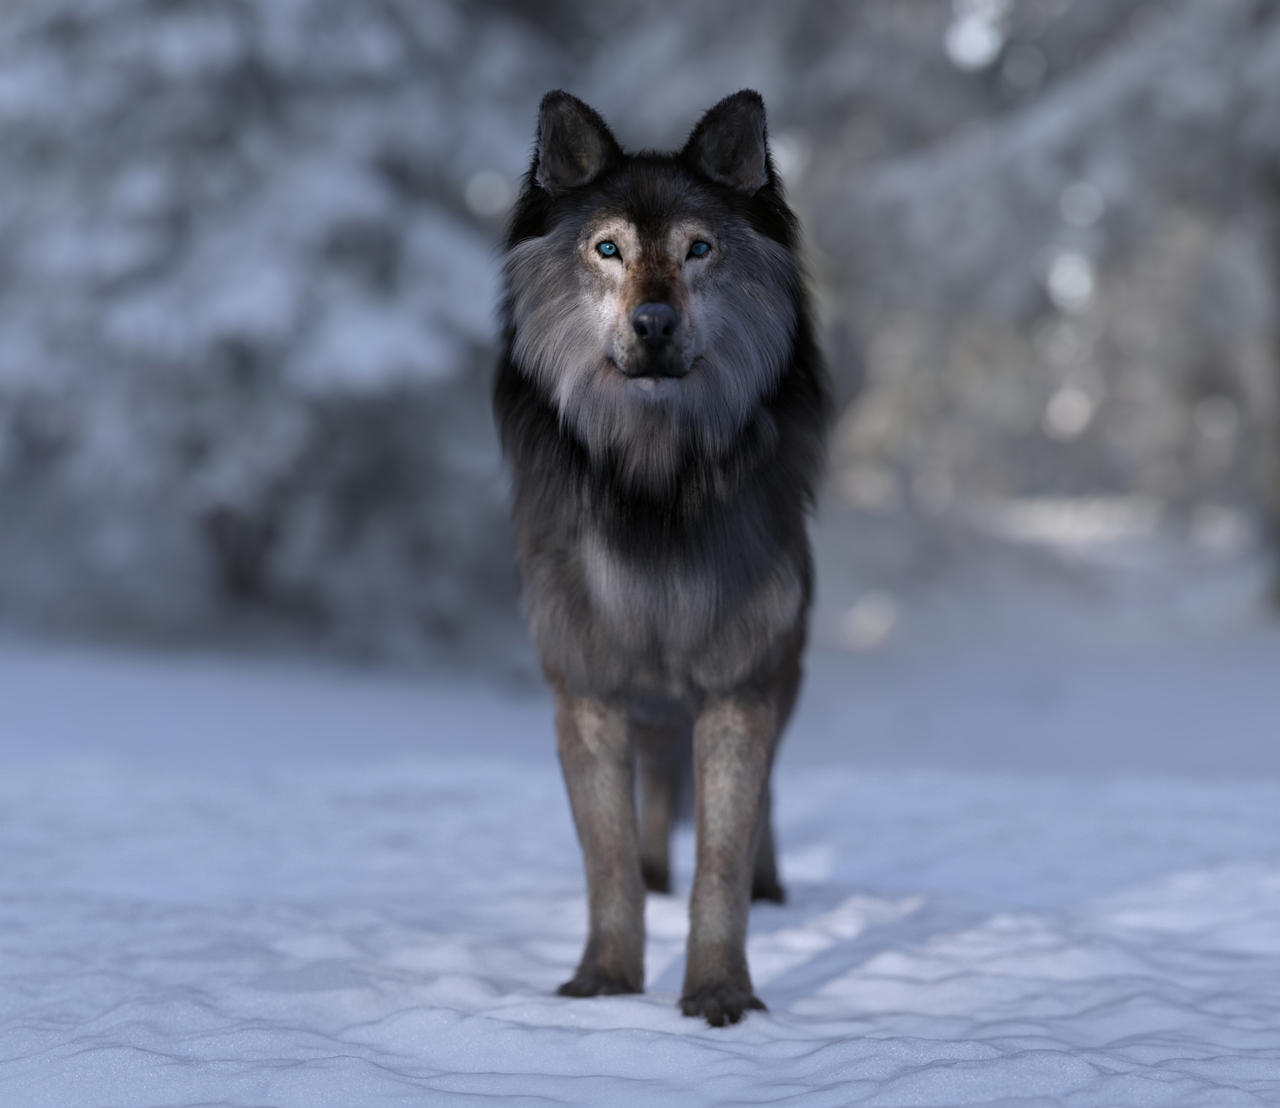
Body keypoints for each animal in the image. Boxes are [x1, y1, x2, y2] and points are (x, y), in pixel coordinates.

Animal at [494, 89, 830, 1026]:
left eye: (698, 249)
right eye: (607, 247)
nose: (653, 323)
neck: (655, 477)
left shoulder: (741, 686)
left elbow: (720, 858)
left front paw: (720, 994)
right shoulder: (589, 690)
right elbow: (607, 862)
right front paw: (604, 983)